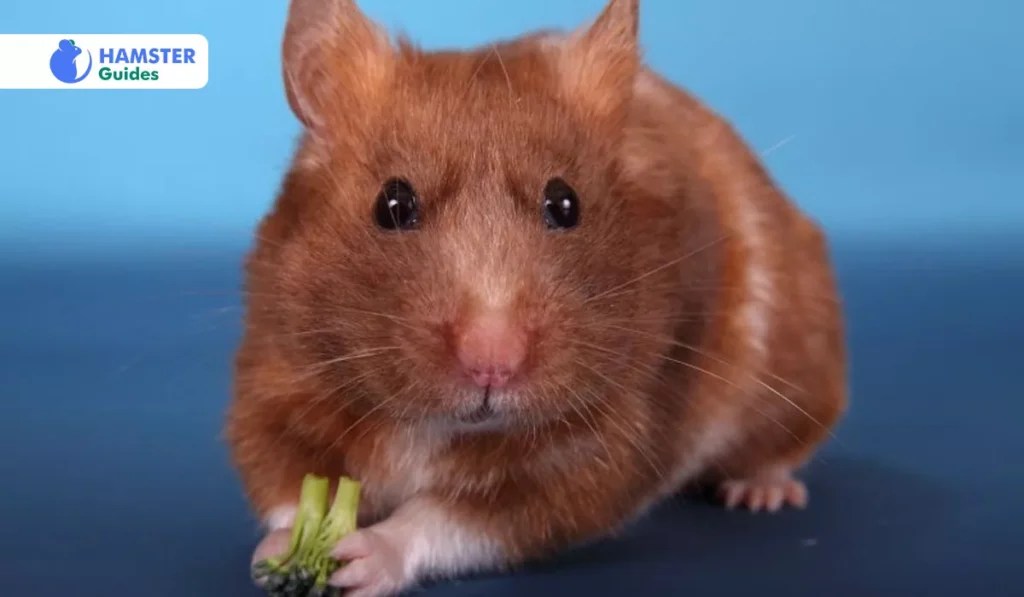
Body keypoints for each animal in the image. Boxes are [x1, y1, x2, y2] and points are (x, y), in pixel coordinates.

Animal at [225, 0, 848, 595]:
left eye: (565, 204)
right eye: (393, 205)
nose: (492, 364)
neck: (432, 426)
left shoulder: (596, 450)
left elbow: (453, 520)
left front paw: (358, 557)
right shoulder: (276, 385)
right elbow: (285, 485)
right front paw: (280, 555)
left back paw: (760, 494)